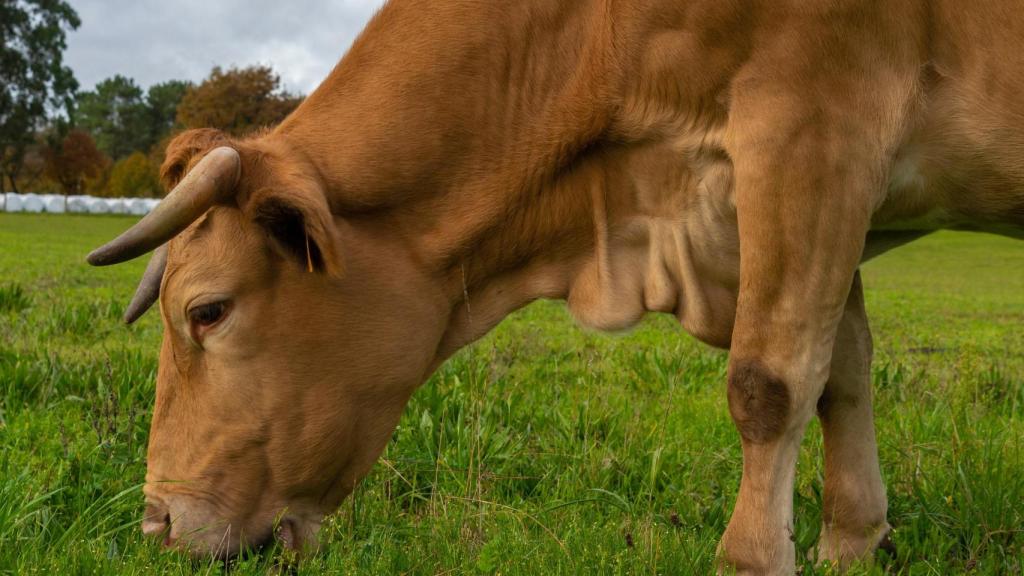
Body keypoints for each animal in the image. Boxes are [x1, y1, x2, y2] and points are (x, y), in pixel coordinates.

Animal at [87, 1, 1024, 573]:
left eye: (208, 311)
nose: (155, 523)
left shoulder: (812, 129)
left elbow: (771, 383)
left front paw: (752, 557)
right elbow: (842, 371)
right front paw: (853, 540)